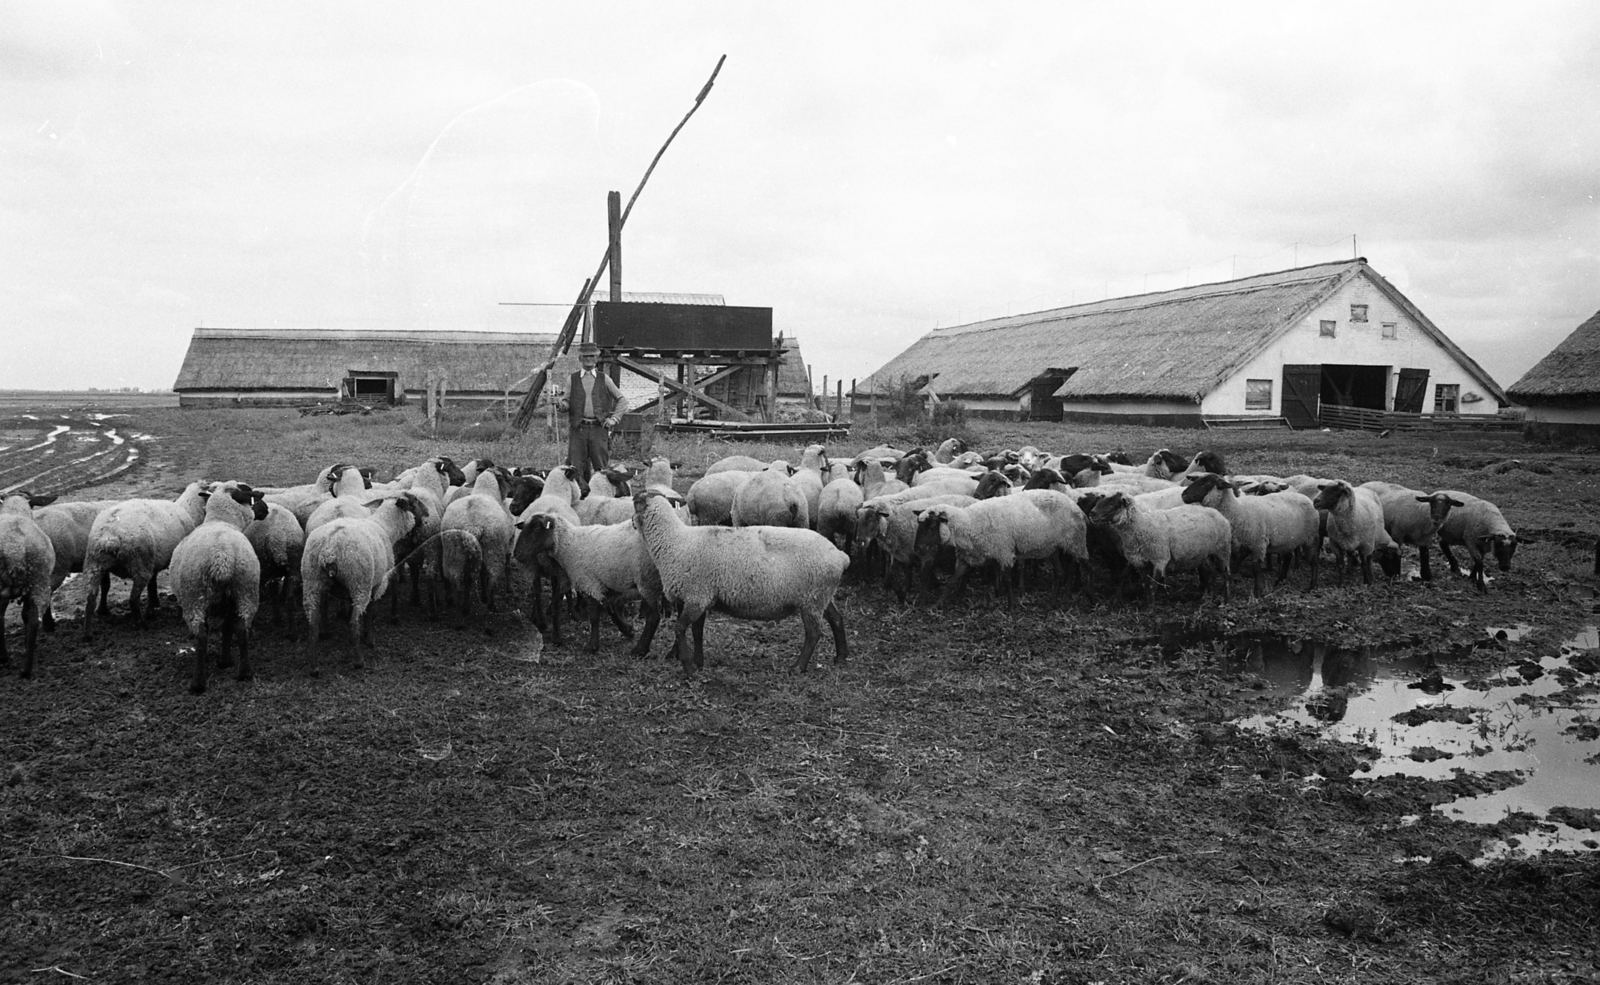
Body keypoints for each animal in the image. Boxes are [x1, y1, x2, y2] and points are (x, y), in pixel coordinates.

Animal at [1, 492, 57, 677]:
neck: (14, 511)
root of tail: (15, 549)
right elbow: (25, 616)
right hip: (39, 581)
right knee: (33, 620)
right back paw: (25, 668)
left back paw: (10, 661)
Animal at [81, 479, 208, 639]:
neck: (189, 511)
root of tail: (110, 537)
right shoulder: (156, 563)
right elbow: (152, 585)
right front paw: (151, 610)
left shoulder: (153, 563)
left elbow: (152, 585)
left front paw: (154, 604)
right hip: (139, 564)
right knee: (133, 598)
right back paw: (141, 624)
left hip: (95, 564)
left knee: (91, 597)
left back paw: (90, 630)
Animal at [170, 482, 267, 693]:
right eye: (251, 496)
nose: (266, 509)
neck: (221, 521)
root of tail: (222, 557)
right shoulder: (229, 601)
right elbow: (227, 628)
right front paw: (225, 660)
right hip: (245, 591)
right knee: (242, 628)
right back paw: (244, 672)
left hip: (194, 597)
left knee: (200, 634)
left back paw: (198, 683)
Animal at [300, 492, 432, 677]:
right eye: (414, 502)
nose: (427, 513)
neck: (385, 527)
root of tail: (329, 550)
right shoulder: (377, 583)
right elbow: (371, 610)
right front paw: (369, 639)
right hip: (358, 583)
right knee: (353, 622)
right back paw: (359, 661)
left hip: (311, 582)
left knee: (313, 625)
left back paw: (314, 667)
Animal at [630, 489, 851, 674]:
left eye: (634, 502)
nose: (631, 522)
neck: (674, 542)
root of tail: (840, 556)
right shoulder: (702, 597)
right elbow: (697, 632)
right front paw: (698, 662)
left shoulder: (696, 595)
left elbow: (680, 628)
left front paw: (688, 665)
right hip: (822, 596)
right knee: (837, 619)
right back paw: (840, 657)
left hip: (811, 599)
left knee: (814, 633)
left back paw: (798, 667)